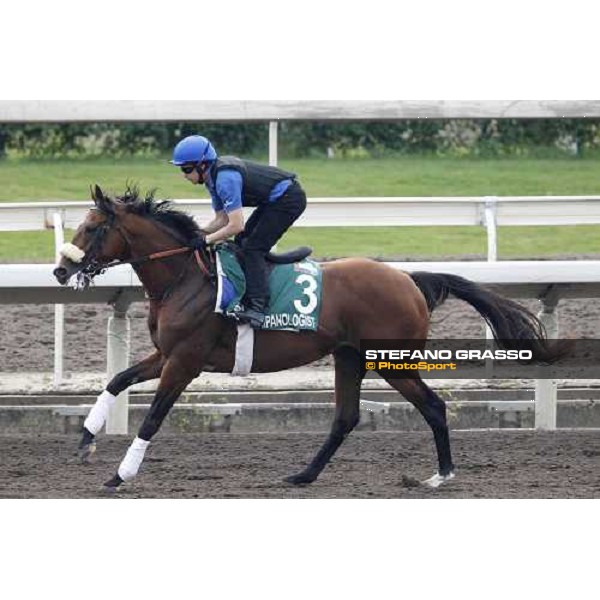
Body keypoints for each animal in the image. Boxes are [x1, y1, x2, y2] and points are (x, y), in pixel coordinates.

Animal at [52, 185, 564, 490]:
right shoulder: (167, 354)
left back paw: (440, 477)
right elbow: (117, 380)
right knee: (346, 417)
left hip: (390, 359)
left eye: (93, 227)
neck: (185, 278)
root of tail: (409, 279)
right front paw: (86, 440)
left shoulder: (186, 361)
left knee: (433, 406)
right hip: (349, 356)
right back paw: (303, 475)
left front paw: (120, 475)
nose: (60, 270)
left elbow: (153, 418)